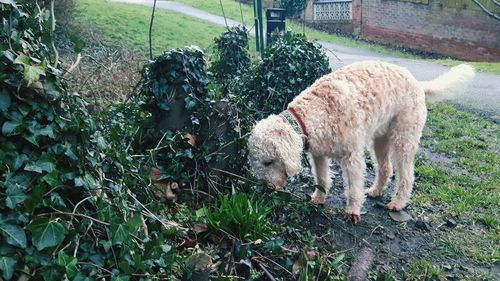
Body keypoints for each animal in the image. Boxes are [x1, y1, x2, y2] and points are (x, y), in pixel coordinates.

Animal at [248, 60, 474, 222]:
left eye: (268, 162)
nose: (267, 188)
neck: (317, 111)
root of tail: (418, 83)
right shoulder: (318, 154)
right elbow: (322, 179)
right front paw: (318, 199)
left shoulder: (352, 158)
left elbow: (354, 188)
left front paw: (353, 212)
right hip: (380, 140)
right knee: (385, 168)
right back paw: (375, 191)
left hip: (403, 140)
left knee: (406, 176)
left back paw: (398, 203)